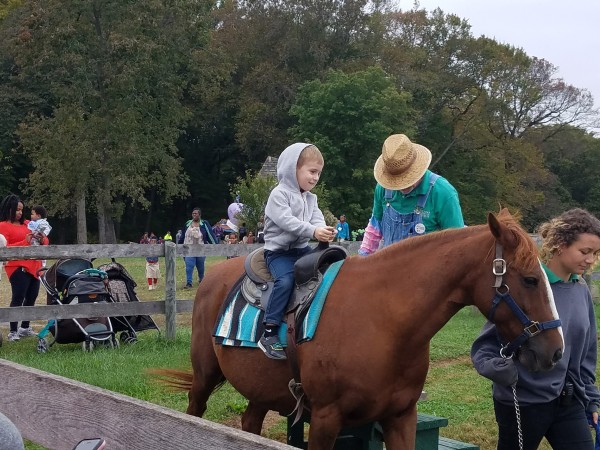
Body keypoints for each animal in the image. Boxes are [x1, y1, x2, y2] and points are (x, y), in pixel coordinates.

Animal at [158, 209, 564, 448]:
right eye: (530, 279)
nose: (556, 350)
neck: (385, 323)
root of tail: (215, 277)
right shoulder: (325, 419)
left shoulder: (401, 418)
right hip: (205, 377)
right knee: (195, 409)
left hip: (260, 389)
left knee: (248, 422)